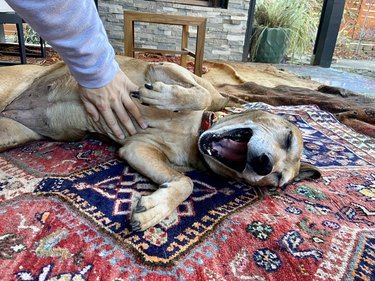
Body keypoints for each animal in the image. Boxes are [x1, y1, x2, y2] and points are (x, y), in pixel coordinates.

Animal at [0, 55, 320, 230]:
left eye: (276, 182)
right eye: (288, 138)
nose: (264, 165)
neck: (196, 133)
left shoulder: (137, 149)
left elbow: (184, 182)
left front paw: (155, 209)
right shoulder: (165, 68)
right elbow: (201, 93)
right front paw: (165, 97)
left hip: (13, 132)